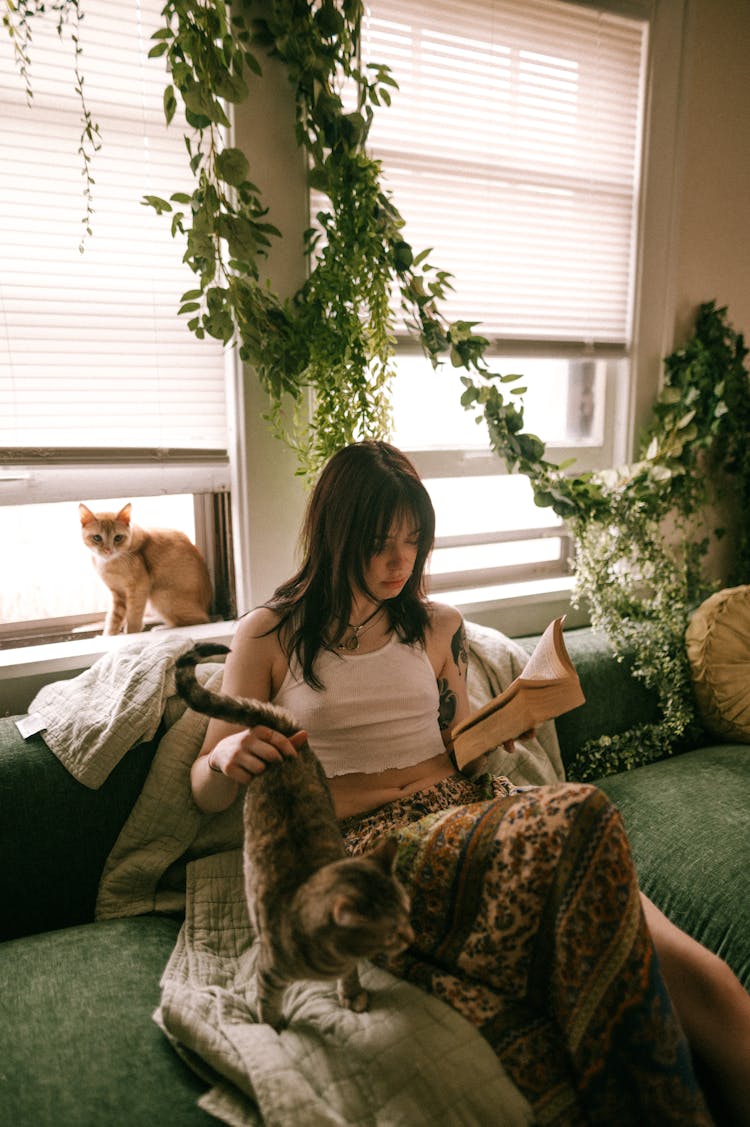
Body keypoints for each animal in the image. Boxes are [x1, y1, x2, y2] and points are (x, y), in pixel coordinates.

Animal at [78, 502, 212, 635]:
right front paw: (109, 635)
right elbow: (114, 618)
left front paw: (131, 633)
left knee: (198, 620)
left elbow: (133, 616)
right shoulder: (119, 594)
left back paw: (162, 628)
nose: (108, 550)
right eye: (97, 538)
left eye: (118, 538)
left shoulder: (139, 588)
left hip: (159, 594)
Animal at [174, 644, 412, 1032]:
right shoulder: (268, 972)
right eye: (391, 931)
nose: (411, 936)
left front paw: (351, 993)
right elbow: (268, 1005)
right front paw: (273, 1026)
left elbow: (350, 975)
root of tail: (285, 734)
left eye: (408, 913)